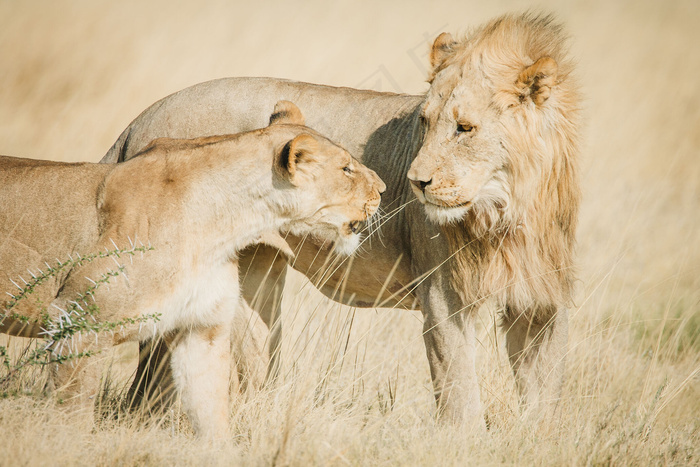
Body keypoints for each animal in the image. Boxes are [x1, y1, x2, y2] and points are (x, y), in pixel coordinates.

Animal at [0, 101, 382, 438]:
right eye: (346, 169)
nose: (383, 188)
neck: (227, 224)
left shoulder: (201, 330)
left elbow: (214, 419)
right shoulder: (78, 323)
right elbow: (72, 417)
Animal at [100, 11, 580, 428]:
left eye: (465, 128)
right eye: (424, 122)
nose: (414, 183)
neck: (509, 211)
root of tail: (139, 120)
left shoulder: (542, 301)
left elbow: (547, 394)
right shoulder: (443, 296)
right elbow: (459, 389)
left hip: (257, 275)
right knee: (144, 393)